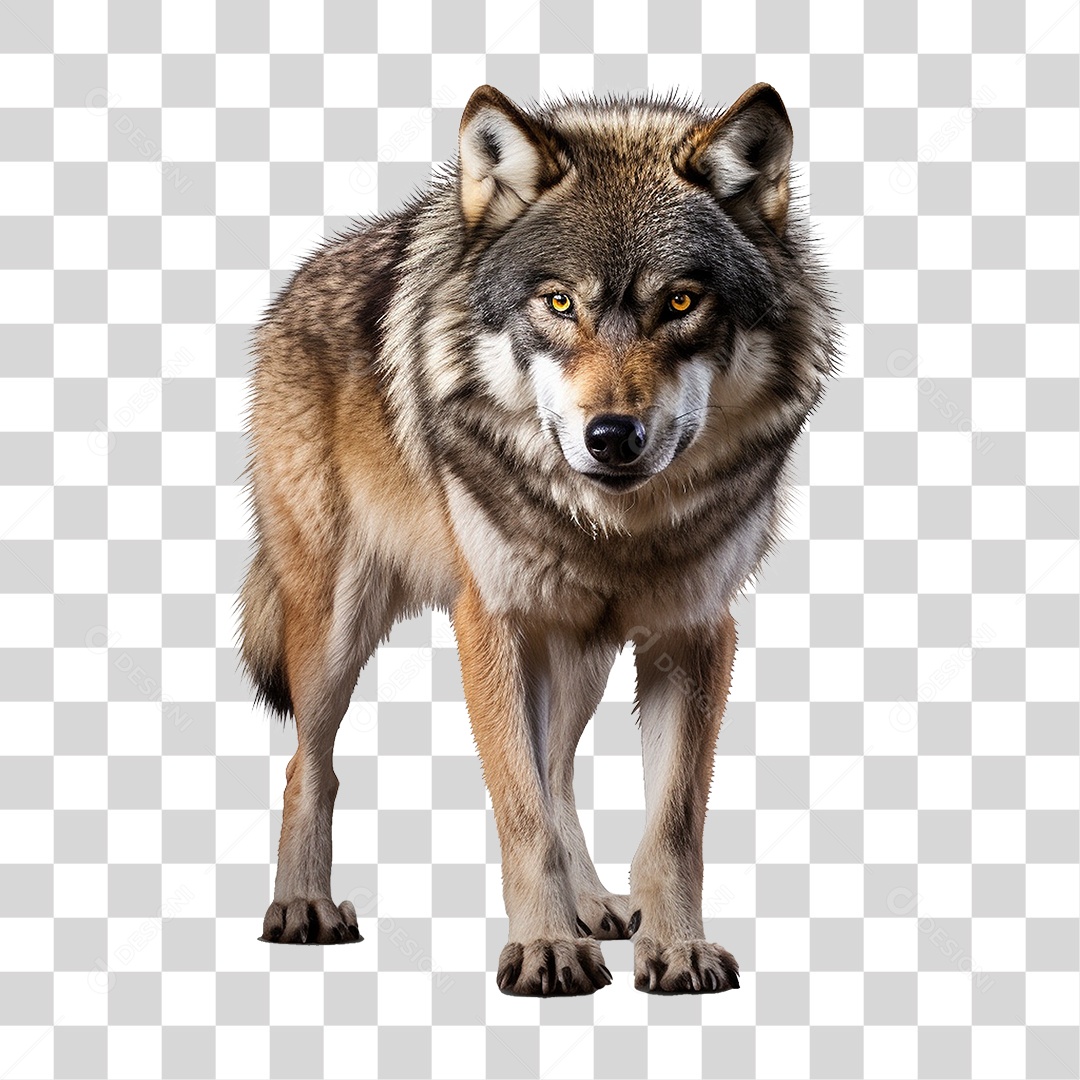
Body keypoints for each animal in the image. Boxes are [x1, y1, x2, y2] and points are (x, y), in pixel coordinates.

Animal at [240, 82, 838, 996]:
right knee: (312, 763)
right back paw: (304, 908)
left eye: (681, 301)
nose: (614, 435)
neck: (616, 528)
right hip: (335, 624)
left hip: (579, 651)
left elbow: (671, 826)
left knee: (557, 772)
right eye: (558, 303)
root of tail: (298, 281)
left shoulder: (696, 633)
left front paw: (676, 949)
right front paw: (548, 950)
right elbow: (520, 812)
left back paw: (595, 907)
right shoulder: (492, 623)